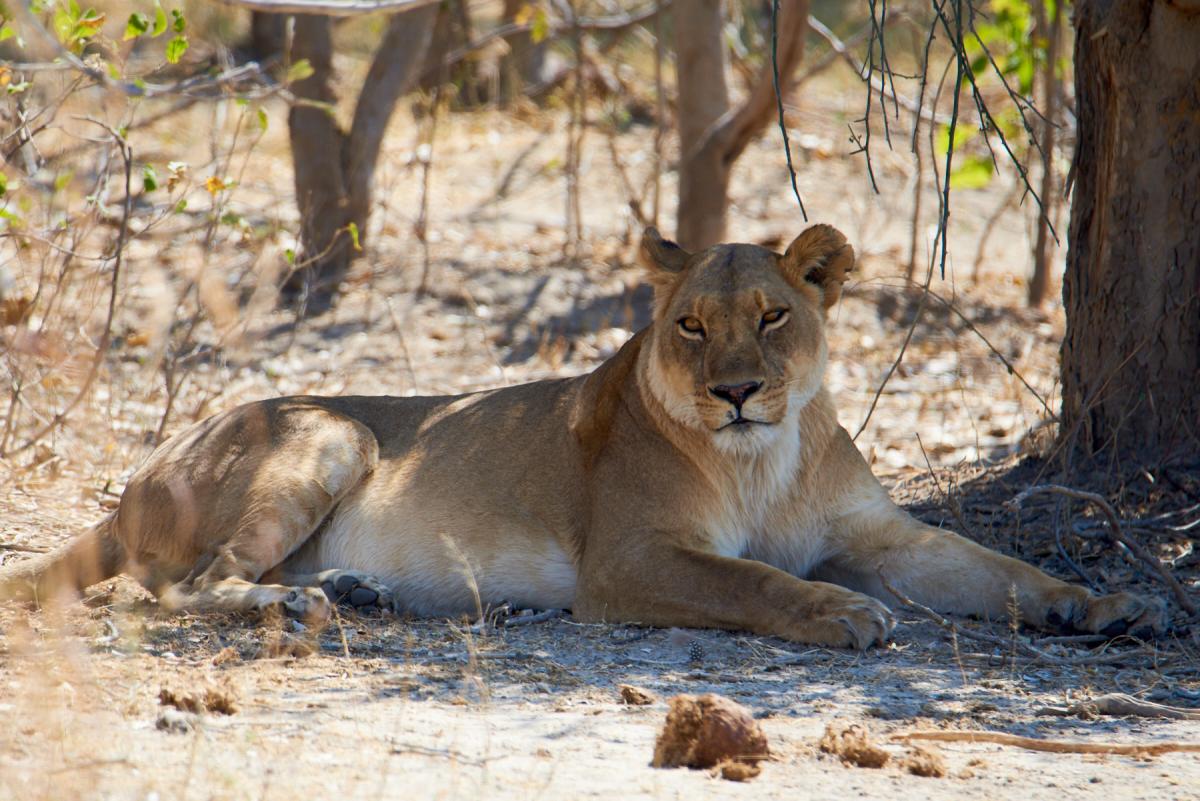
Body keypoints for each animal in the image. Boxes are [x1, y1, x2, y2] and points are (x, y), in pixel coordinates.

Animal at [0, 225, 1164, 648]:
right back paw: (298, 605)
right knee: (173, 587)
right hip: (327, 433)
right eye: (690, 324)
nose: (738, 392)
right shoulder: (631, 560)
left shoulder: (883, 537)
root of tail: (139, 475)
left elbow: (992, 564)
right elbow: (756, 580)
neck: (768, 459)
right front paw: (839, 614)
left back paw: (353, 590)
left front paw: (1101, 603)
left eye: (773, 317)